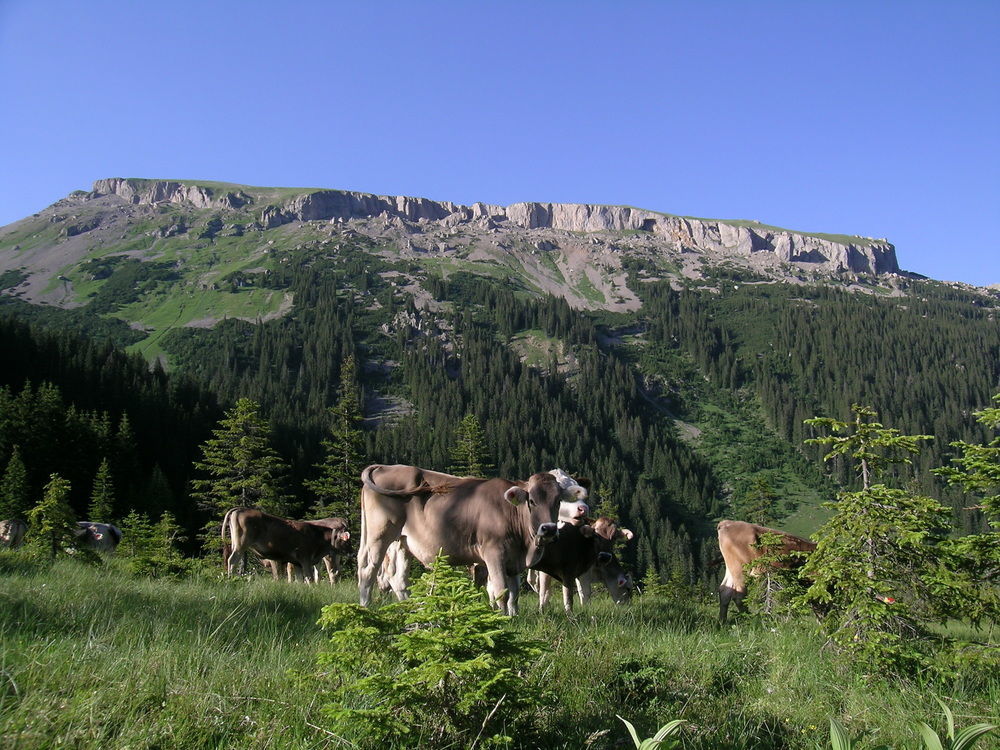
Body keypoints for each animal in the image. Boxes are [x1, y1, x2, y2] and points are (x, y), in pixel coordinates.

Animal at [358, 464, 580, 616]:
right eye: (531, 501)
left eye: (558, 501)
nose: (549, 529)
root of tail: (385, 466)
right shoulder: (493, 553)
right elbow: (501, 591)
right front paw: (503, 619)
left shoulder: (513, 560)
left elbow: (514, 593)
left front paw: (514, 615)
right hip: (379, 534)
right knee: (368, 571)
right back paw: (365, 608)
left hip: (403, 542)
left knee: (399, 579)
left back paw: (414, 611)